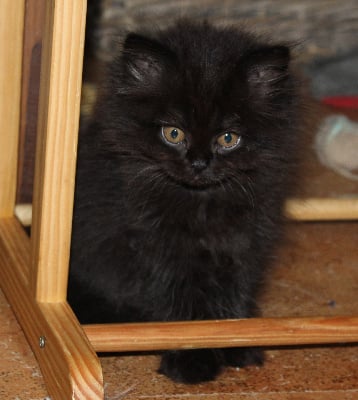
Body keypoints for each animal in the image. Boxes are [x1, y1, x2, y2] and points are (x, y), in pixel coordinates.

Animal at [68, 20, 302, 382]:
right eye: (174, 133)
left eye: (228, 138)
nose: (198, 163)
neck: (201, 206)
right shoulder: (157, 246)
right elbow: (180, 306)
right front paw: (192, 359)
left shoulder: (244, 241)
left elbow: (236, 291)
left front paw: (237, 341)